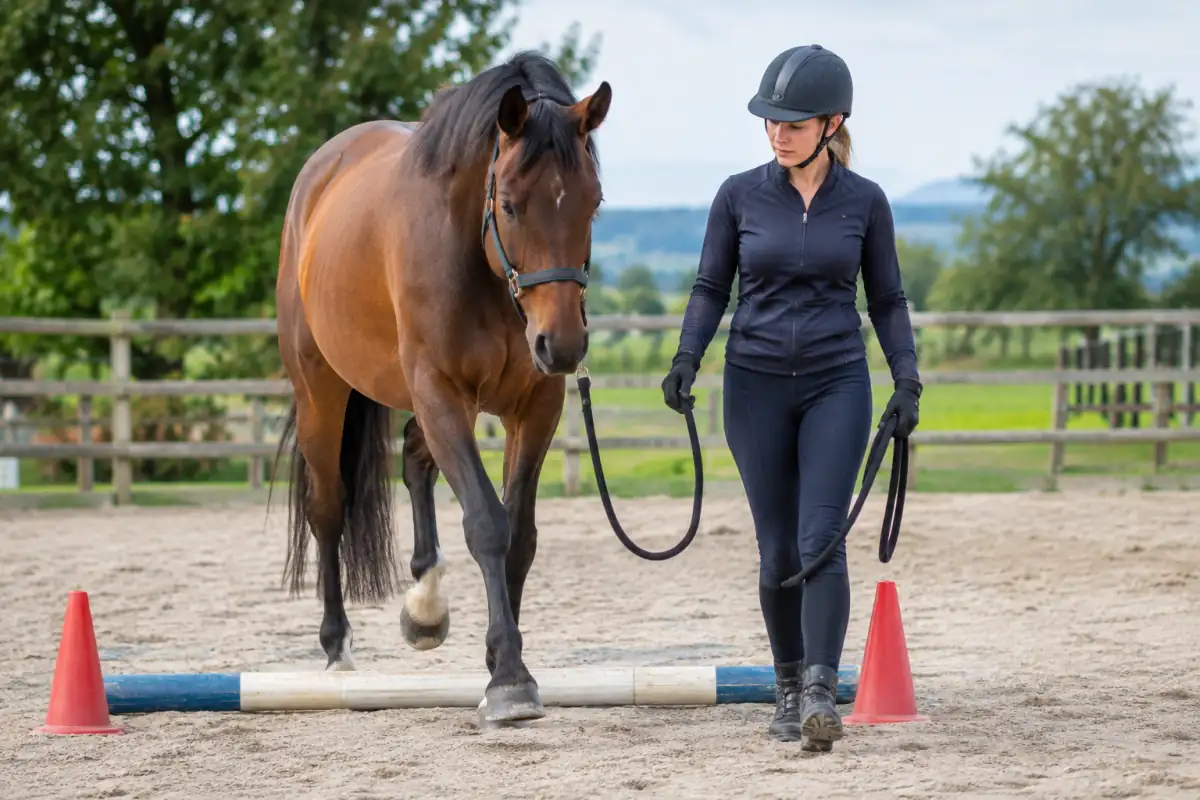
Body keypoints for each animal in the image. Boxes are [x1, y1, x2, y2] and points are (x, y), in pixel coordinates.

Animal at [269, 51, 611, 728]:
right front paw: (509, 681)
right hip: (323, 388)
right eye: (511, 205)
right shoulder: (440, 391)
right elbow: (486, 522)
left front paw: (499, 662)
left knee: (412, 456)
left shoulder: (534, 406)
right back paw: (337, 646)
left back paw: (425, 606)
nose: (561, 346)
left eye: (593, 203)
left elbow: (519, 535)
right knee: (329, 506)